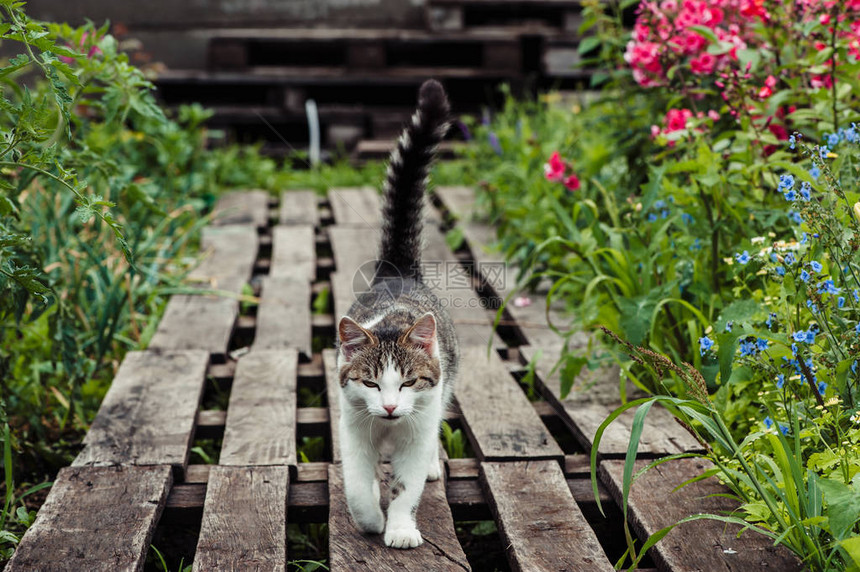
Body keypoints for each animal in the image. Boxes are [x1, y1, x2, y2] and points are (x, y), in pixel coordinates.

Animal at [334, 78, 460, 548]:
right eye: (370, 382)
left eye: (407, 382)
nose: (389, 408)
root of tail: (398, 271)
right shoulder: (353, 429)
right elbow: (357, 484)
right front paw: (370, 518)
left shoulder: (415, 431)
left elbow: (406, 487)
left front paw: (401, 528)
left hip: (442, 393)